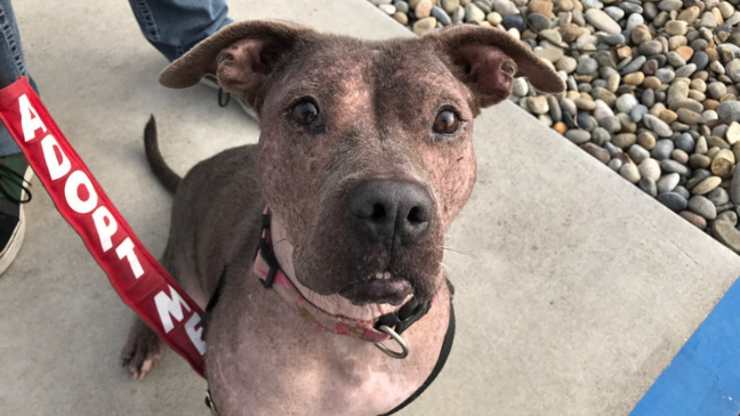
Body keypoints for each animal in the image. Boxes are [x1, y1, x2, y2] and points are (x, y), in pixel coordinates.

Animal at [120, 20, 560, 416]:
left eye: (447, 119)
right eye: (305, 111)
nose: (394, 208)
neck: (350, 331)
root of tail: (187, 178)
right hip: (182, 261)